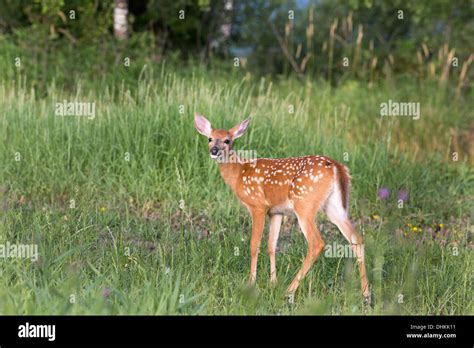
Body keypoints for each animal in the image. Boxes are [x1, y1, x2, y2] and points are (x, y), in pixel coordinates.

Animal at [193, 113, 370, 304]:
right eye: (210, 138)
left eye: (227, 140)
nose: (214, 150)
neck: (240, 173)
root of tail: (337, 167)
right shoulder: (276, 211)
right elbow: (272, 244)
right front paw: (273, 282)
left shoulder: (258, 206)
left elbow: (254, 244)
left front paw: (251, 282)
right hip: (335, 207)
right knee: (357, 238)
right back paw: (366, 295)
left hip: (304, 204)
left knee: (317, 243)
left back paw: (289, 291)